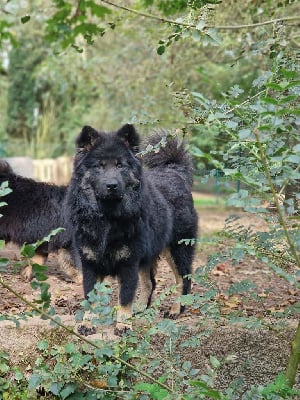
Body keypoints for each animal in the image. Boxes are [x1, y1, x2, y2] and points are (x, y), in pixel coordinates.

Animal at [65, 125, 197, 334]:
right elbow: (91, 299)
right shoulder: (91, 264)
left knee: (183, 281)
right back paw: (141, 309)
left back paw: (176, 309)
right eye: (99, 166)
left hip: (177, 250)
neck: (108, 218)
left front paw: (123, 325)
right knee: (150, 283)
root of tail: (174, 171)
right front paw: (87, 323)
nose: (112, 185)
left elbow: (125, 298)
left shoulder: (128, 263)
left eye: (120, 165)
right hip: (148, 256)